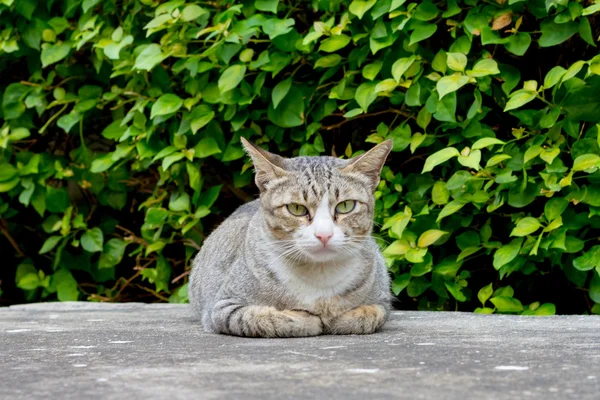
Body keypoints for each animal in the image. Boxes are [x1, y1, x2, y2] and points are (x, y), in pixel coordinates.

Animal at [189, 138, 394, 338]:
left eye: (346, 206)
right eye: (296, 208)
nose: (324, 234)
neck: (319, 275)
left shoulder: (381, 298)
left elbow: (369, 315)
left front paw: (338, 318)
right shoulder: (222, 306)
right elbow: (263, 318)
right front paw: (307, 319)